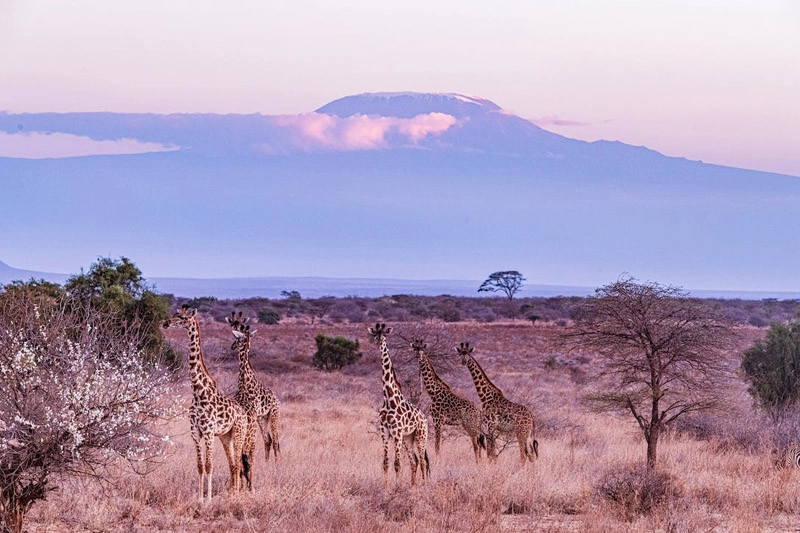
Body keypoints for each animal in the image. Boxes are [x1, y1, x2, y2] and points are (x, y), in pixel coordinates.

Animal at [162, 304, 250, 498]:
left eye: (182, 317)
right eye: (174, 314)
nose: (165, 323)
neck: (198, 391)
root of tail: (244, 413)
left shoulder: (209, 432)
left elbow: (209, 466)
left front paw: (208, 499)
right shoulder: (195, 432)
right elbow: (200, 466)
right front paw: (200, 499)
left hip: (239, 433)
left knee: (239, 463)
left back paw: (236, 494)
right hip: (226, 436)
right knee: (233, 464)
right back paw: (232, 493)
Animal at [227, 312, 282, 474]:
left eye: (237, 338)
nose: (232, 346)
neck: (245, 383)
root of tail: (277, 399)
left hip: (274, 415)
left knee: (275, 440)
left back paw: (277, 464)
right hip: (262, 418)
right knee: (268, 440)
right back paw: (267, 464)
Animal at [368, 322, 432, 484]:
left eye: (384, 335)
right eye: (375, 335)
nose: (379, 343)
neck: (388, 398)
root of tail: (424, 417)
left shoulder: (396, 432)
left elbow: (397, 464)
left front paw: (396, 487)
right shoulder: (384, 431)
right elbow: (385, 463)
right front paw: (386, 487)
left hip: (421, 436)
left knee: (422, 460)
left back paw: (424, 485)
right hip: (408, 439)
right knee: (414, 461)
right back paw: (413, 486)